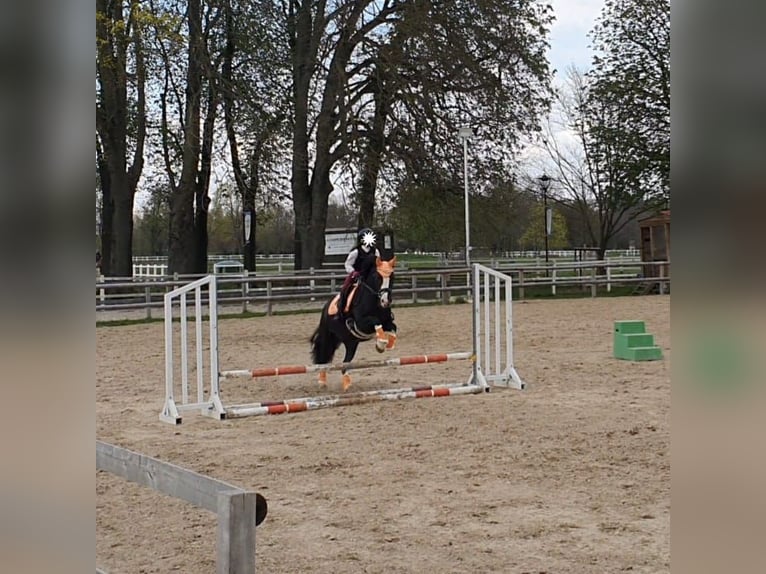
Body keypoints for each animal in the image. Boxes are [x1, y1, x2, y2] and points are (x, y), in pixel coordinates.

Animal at [310, 256, 400, 392]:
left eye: (392, 277)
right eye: (377, 277)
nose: (385, 301)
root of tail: (326, 307)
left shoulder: (387, 322)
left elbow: (393, 327)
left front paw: (387, 344)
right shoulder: (361, 323)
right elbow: (376, 321)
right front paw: (381, 344)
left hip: (351, 343)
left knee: (345, 363)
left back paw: (346, 383)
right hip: (329, 337)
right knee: (324, 356)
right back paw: (322, 381)